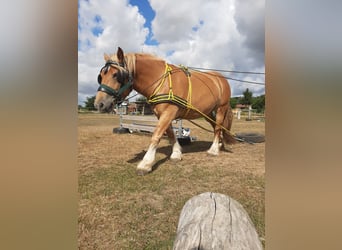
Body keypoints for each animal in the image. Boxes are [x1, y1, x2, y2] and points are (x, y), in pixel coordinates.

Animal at [94, 47, 235, 176]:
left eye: (116, 75)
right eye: (100, 76)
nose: (99, 104)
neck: (162, 80)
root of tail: (221, 79)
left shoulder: (168, 112)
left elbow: (156, 135)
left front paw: (146, 163)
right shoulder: (162, 114)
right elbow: (171, 134)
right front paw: (176, 153)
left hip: (221, 108)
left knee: (218, 127)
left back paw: (213, 150)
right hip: (207, 112)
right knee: (216, 126)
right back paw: (220, 144)